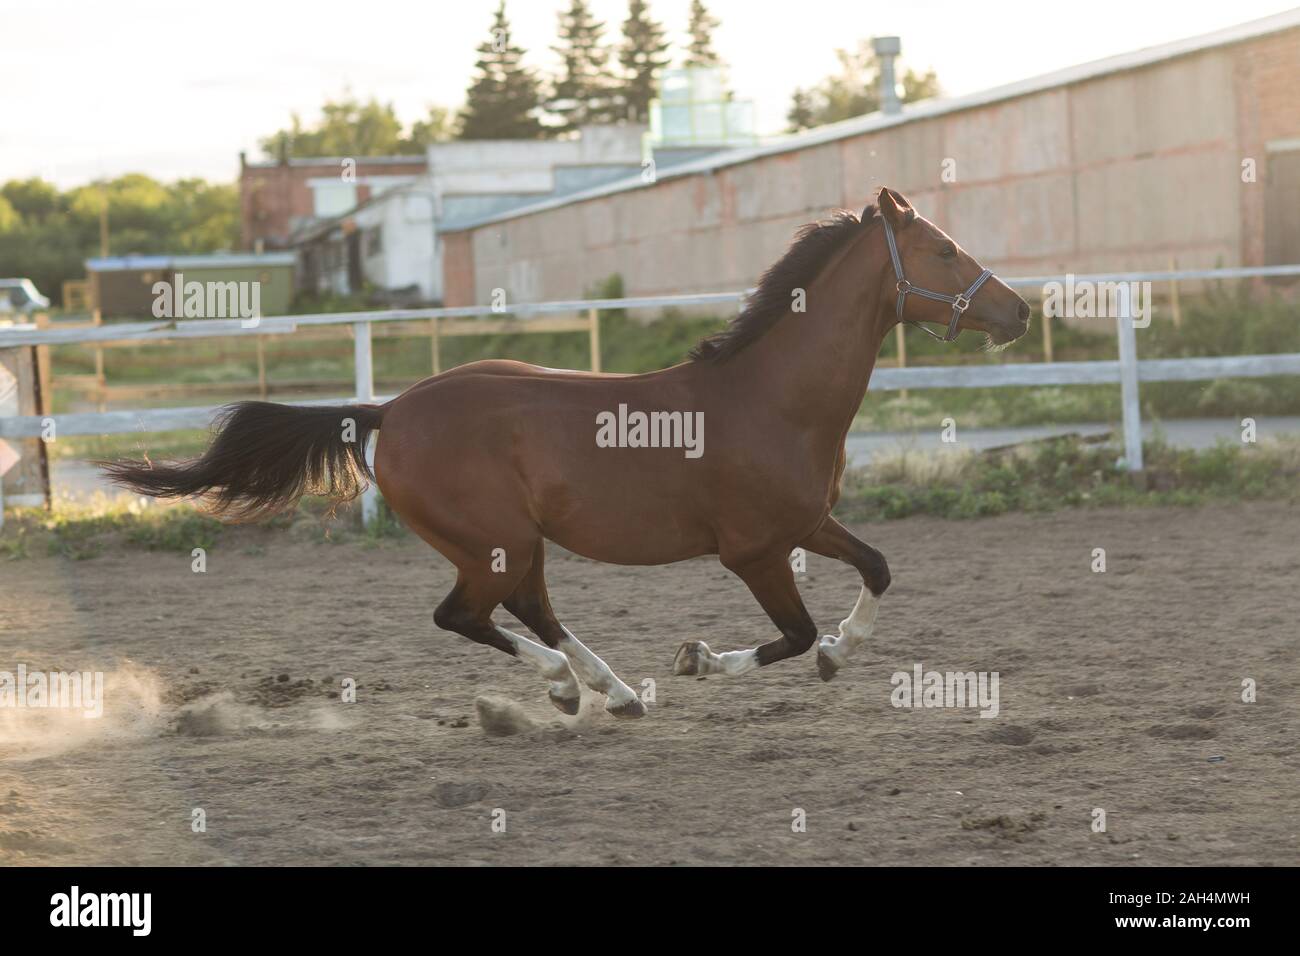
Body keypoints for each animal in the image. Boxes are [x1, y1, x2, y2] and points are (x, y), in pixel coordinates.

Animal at [101, 188, 1029, 717]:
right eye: (944, 249)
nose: (1019, 311)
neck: (772, 400)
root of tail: (388, 410)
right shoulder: (756, 550)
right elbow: (793, 635)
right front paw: (702, 661)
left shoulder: (808, 523)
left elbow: (876, 569)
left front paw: (842, 652)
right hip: (496, 543)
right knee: (467, 617)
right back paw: (567, 686)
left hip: (520, 544)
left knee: (527, 610)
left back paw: (611, 693)